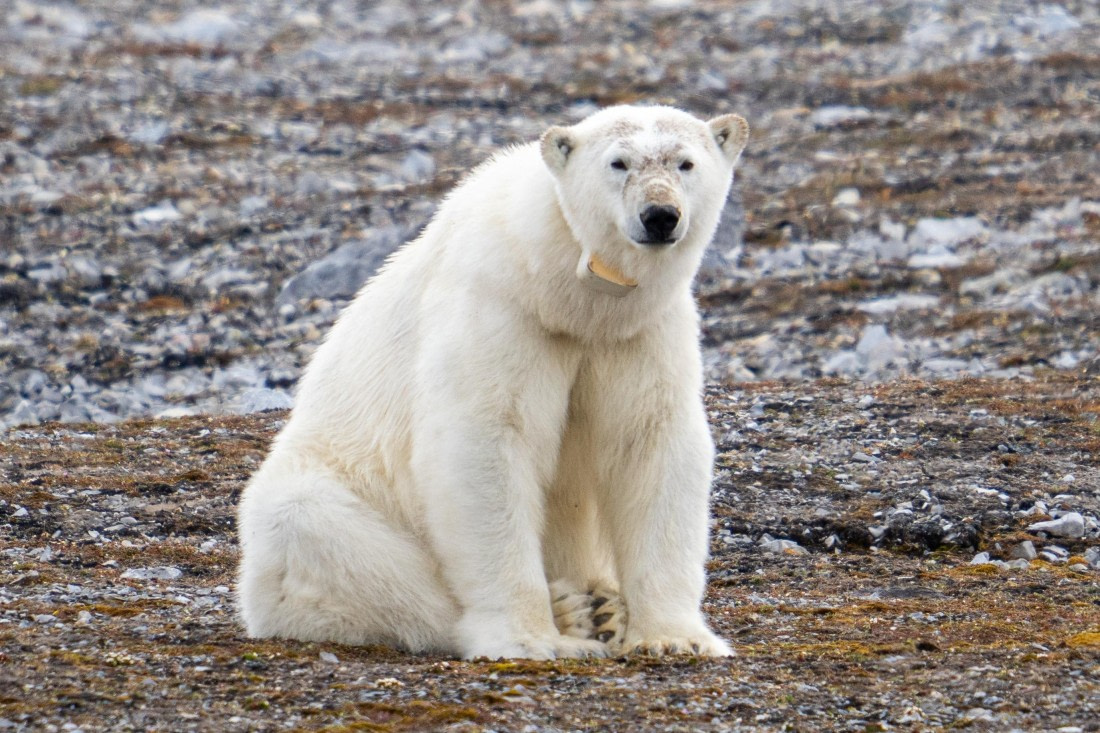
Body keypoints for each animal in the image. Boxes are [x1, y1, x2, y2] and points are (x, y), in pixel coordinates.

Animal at [236, 104, 750, 660]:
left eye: (685, 163)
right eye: (618, 162)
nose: (659, 215)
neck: (566, 296)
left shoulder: (637, 333)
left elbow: (652, 441)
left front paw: (675, 638)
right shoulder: (499, 308)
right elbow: (486, 441)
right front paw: (531, 639)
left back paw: (604, 607)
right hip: (321, 496)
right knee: (334, 540)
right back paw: (571, 611)